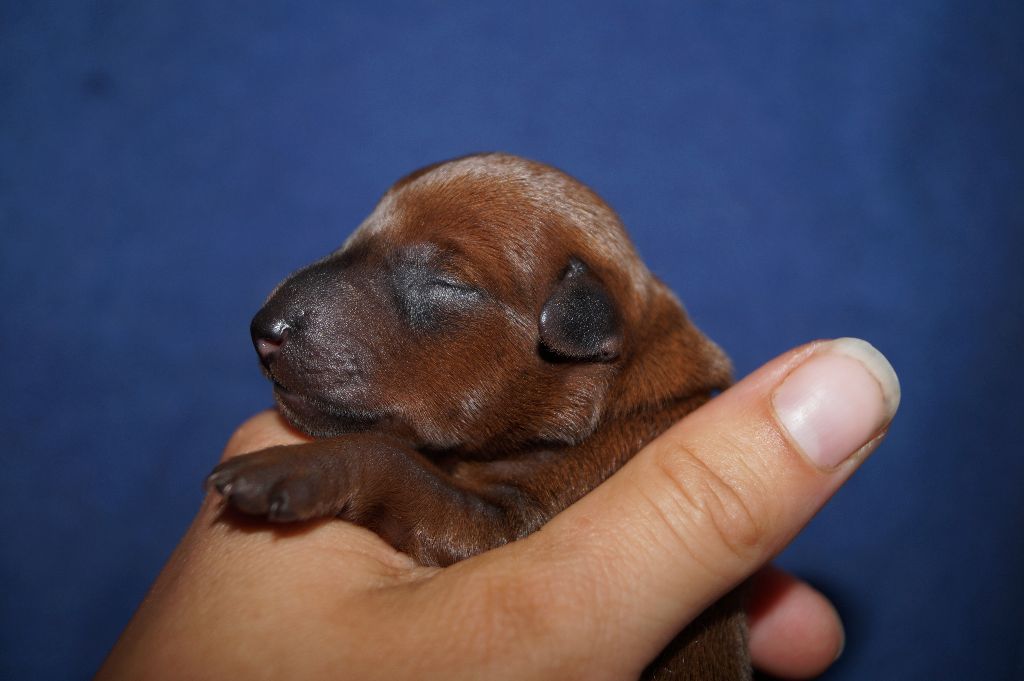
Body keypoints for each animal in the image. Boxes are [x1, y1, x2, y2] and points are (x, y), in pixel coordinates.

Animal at [206, 153, 749, 680]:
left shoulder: (510, 525)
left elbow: (391, 460)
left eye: (447, 283)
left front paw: (285, 468)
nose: (263, 330)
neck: (614, 393)